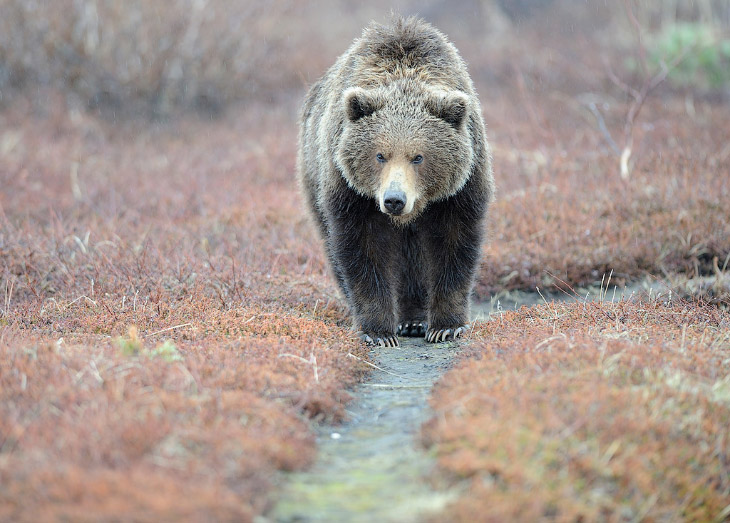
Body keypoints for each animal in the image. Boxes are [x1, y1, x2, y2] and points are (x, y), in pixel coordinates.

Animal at [298, 16, 494, 346]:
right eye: (380, 155)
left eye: (418, 157)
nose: (394, 200)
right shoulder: (352, 193)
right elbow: (362, 251)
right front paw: (378, 331)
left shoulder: (460, 190)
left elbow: (454, 245)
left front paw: (446, 326)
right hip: (313, 175)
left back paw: (414, 319)